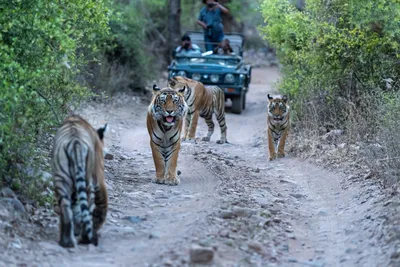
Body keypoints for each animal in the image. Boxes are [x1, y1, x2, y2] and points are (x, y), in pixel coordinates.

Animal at [51, 114, 108, 248]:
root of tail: (75, 143)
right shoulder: (98, 179)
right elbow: (102, 203)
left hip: (61, 180)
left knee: (66, 210)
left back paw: (66, 242)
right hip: (87, 183)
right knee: (85, 208)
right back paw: (86, 238)